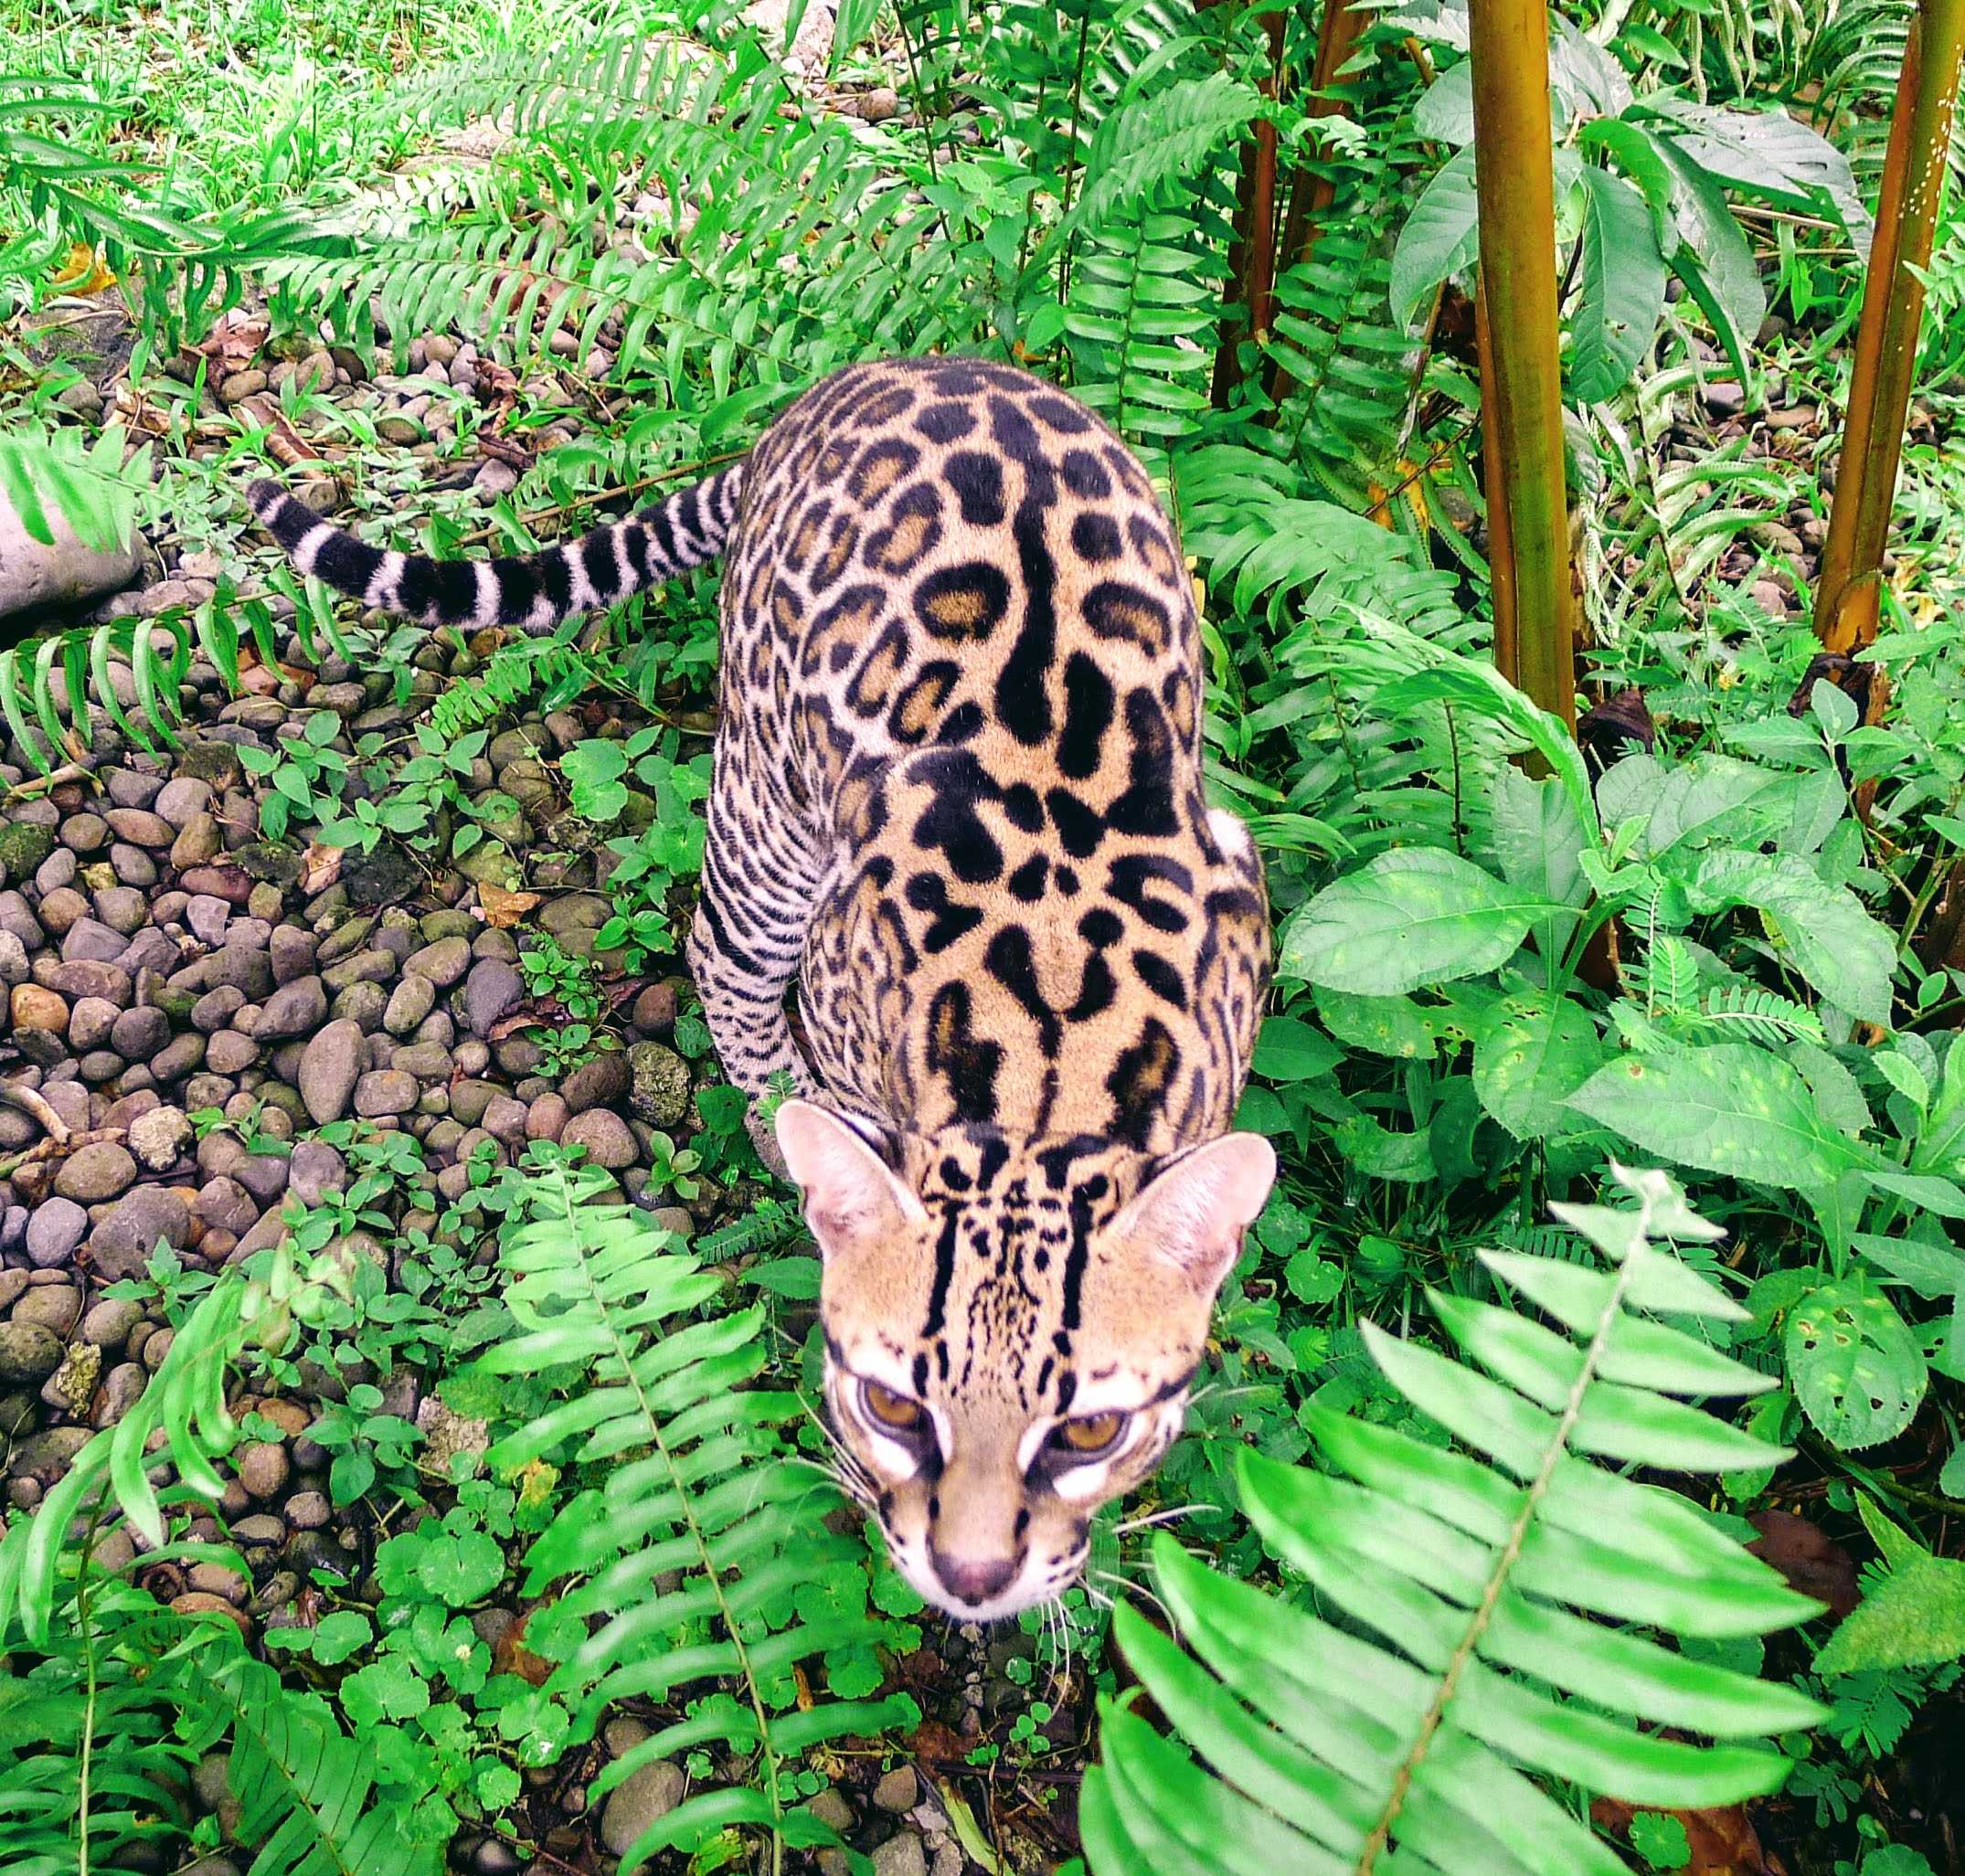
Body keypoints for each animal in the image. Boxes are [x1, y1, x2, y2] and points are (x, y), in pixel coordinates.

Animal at [250, 355, 1273, 1610]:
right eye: (892, 1405)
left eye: (1089, 1431)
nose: (969, 1575)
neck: (1053, 1073)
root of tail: (860, 374)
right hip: (765, 807)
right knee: (720, 953)